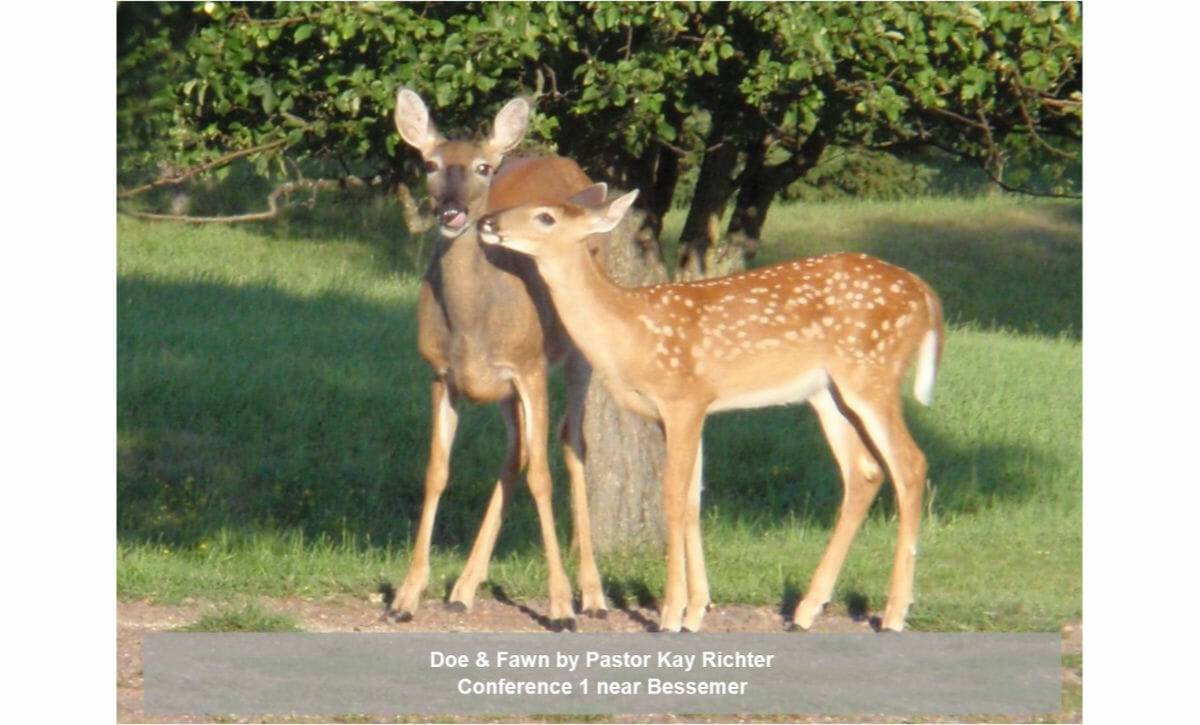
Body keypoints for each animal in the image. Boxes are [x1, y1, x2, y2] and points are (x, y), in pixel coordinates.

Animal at [388, 88, 609, 629]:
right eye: (429, 163)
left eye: (484, 167)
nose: (451, 211)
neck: (473, 325)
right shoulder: (441, 374)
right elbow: (436, 471)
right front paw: (406, 596)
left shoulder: (529, 367)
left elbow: (543, 478)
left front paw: (560, 605)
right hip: (504, 391)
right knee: (517, 452)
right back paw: (464, 588)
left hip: (578, 351)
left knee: (571, 441)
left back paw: (593, 594)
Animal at [476, 187, 944, 633]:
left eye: (545, 217)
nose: (487, 222)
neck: (630, 331)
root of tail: (925, 294)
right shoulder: (684, 411)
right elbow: (691, 502)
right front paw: (696, 610)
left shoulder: (683, 397)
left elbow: (672, 498)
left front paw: (669, 615)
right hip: (826, 391)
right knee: (864, 471)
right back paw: (807, 611)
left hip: (871, 371)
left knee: (911, 464)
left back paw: (894, 613)